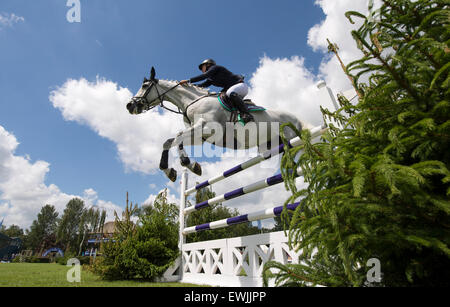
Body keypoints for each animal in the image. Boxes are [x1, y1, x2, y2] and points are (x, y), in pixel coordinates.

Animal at [125, 67, 304, 183]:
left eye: (145, 86)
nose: (129, 106)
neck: (193, 101)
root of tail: (296, 119)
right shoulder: (201, 136)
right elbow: (173, 141)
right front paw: (187, 166)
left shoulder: (207, 128)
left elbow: (176, 137)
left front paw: (178, 166)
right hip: (271, 146)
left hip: (291, 141)